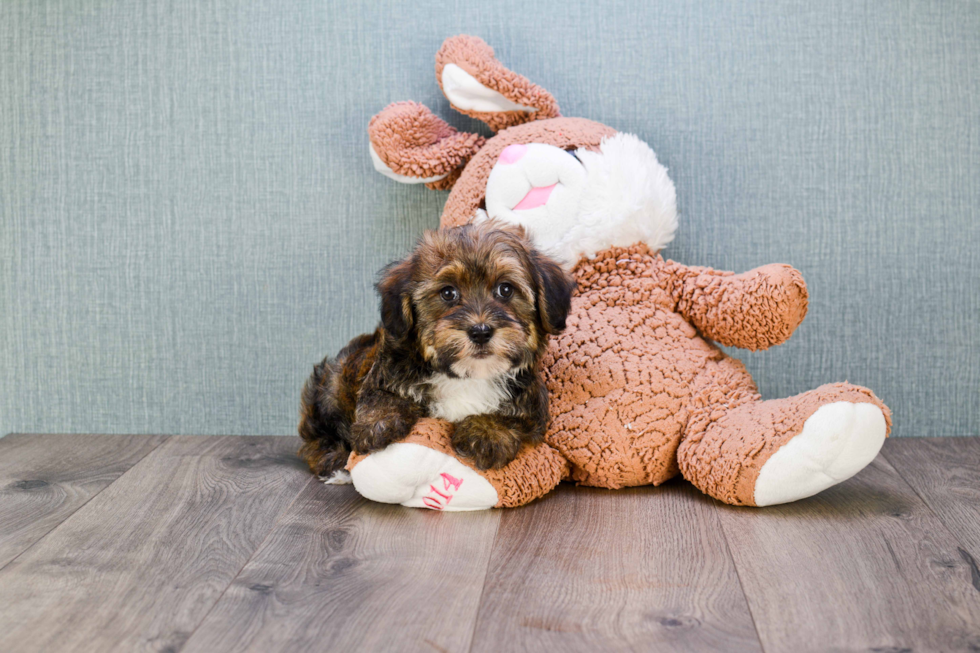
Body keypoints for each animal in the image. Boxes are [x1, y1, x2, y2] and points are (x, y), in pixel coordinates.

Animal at [296, 219, 576, 478]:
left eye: (505, 289)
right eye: (448, 293)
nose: (480, 331)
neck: (467, 376)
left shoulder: (532, 403)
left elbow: (515, 417)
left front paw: (486, 433)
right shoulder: (384, 370)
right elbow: (381, 396)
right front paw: (378, 424)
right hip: (333, 382)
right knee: (313, 435)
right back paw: (332, 459)